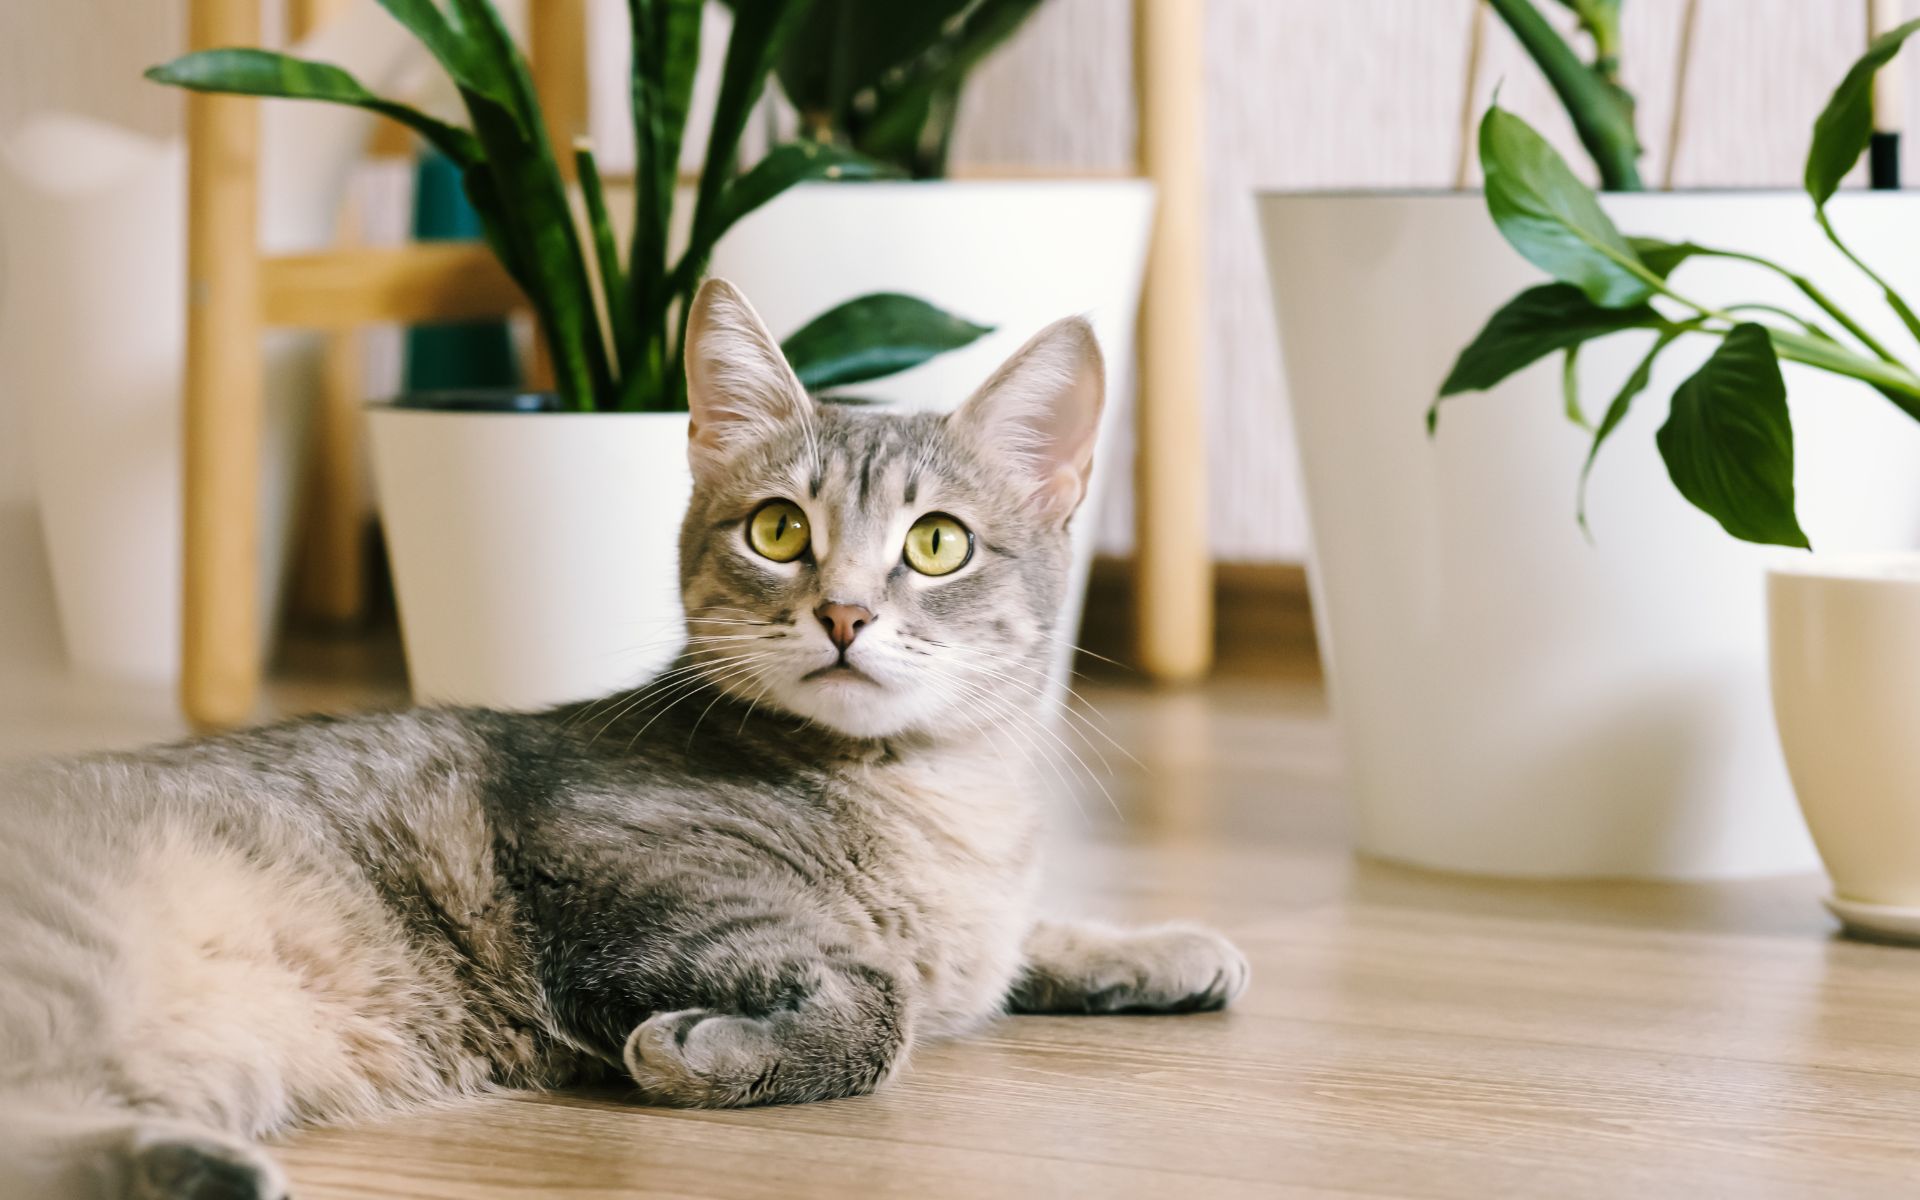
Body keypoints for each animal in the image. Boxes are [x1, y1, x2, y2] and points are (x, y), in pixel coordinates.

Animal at [0, 280, 1244, 1198]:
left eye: (938, 543)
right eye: (778, 529)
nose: (843, 614)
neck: (944, 799)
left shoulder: (974, 927)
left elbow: (1013, 943)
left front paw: (1156, 946)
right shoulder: (629, 890)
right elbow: (876, 1009)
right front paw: (708, 1053)